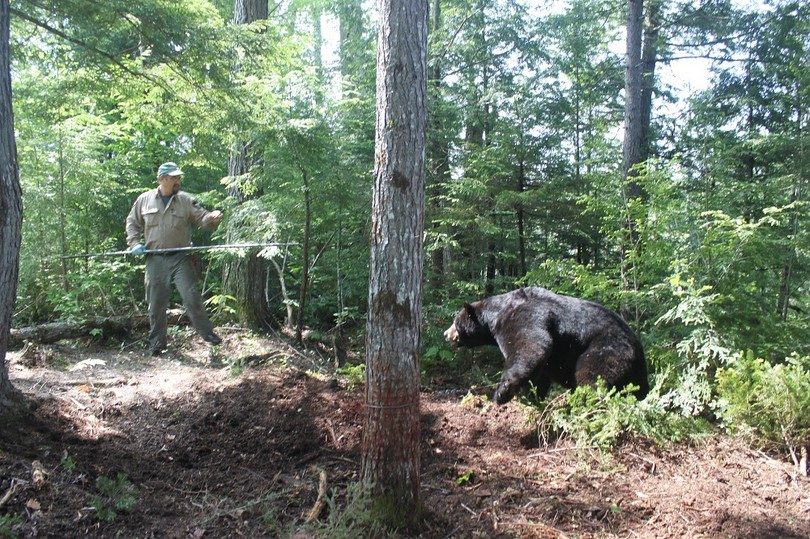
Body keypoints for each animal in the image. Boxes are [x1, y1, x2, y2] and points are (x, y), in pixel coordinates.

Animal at [444, 287, 649, 404]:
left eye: (455, 321)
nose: (446, 334)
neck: (495, 316)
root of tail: (636, 345)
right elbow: (539, 373)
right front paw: (532, 396)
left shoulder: (523, 316)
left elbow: (532, 345)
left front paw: (502, 392)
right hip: (636, 370)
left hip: (607, 348)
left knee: (592, 375)